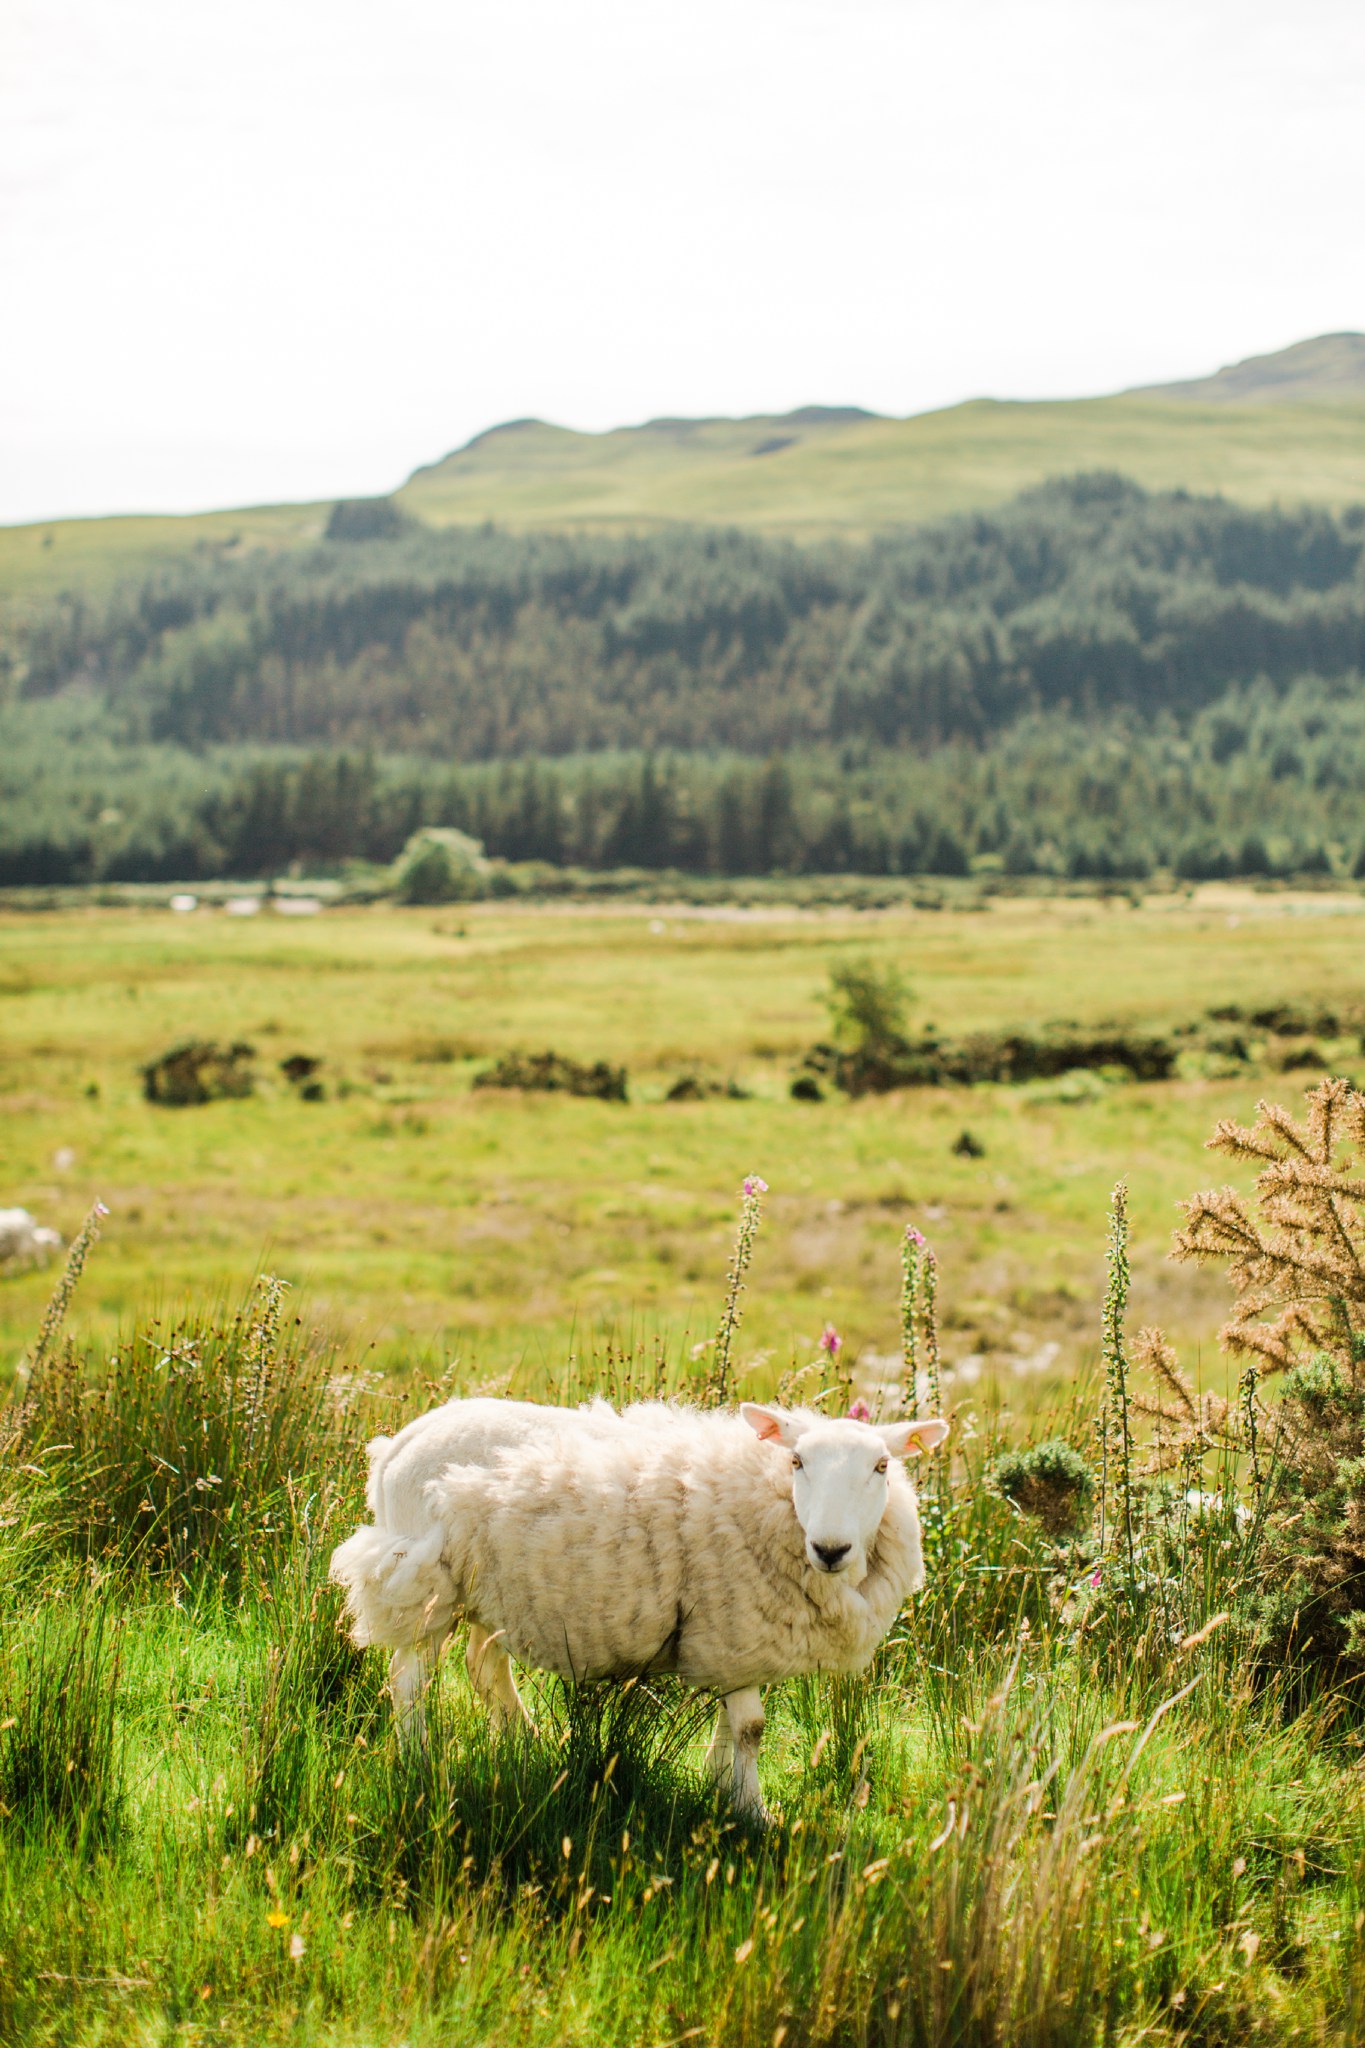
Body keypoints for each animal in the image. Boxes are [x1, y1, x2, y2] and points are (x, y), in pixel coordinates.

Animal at [331, 1400, 949, 1818]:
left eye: (882, 1467)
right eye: (797, 1460)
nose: (830, 1548)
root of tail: (400, 1442)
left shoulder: (737, 1639)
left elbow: (732, 1725)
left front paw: (720, 1786)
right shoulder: (733, 1622)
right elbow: (751, 1729)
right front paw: (754, 1813)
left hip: (488, 1590)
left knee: (485, 1670)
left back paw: (524, 1743)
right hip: (422, 1575)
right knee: (410, 1679)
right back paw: (420, 1761)